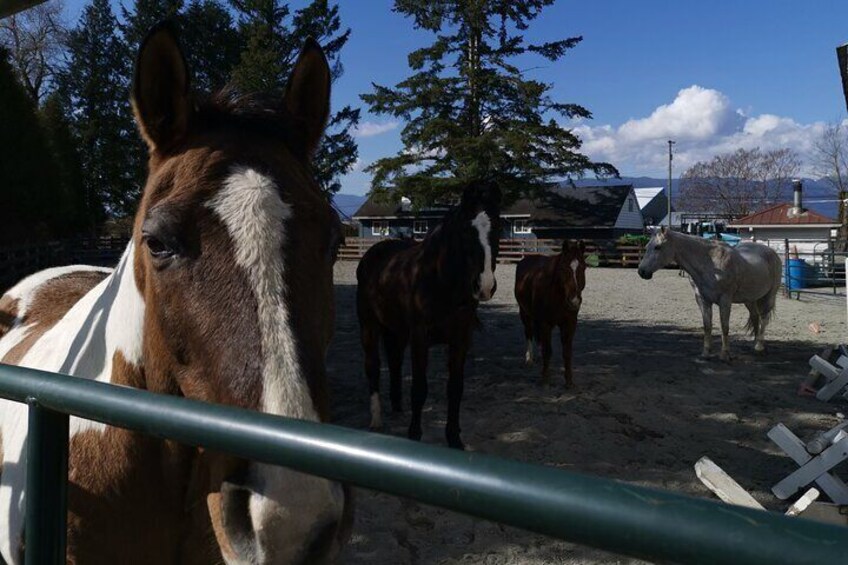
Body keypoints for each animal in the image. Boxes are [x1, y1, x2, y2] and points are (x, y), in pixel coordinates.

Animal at [354, 183, 500, 452]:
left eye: (497, 228)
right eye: (466, 231)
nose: (484, 286)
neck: (439, 281)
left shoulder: (460, 340)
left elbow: (455, 388)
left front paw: (454, 439)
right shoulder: (420, 339)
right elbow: (420, 388)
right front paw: (414, 434)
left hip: (396, 331)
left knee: (394, 362)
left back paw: (397, 408)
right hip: (369, 326)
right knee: (373, 367)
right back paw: (377, 419)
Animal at [512, 238, 588, 388]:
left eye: (583, 267)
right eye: (563, 268)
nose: (574, 301)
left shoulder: (570, 323)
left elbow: (567, 352)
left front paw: (569, 382)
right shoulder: (545, 323)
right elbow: (547, 351)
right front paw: (545, 379)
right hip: (524, 313)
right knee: (529, 332)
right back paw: (529, 359)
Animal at [636, 226, 780, 362]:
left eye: (657, 247)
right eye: (647, 246)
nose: (641, 271)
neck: (711, 264)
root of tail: (772, 253)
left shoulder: (725, 300)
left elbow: (724, 327)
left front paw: (725, 355)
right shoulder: (702, 300)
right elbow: (707, 326)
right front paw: (705, 353)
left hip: (769, 296)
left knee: (764, 318)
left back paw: (759, 347)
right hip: (750, 299)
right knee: (755, 317)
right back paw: (755, 344)